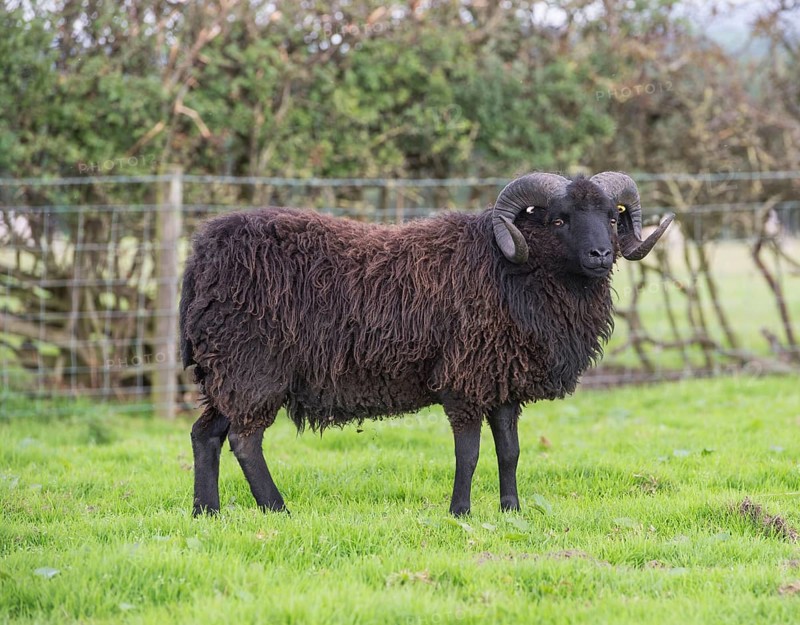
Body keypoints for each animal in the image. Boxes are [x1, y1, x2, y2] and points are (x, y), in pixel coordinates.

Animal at [180, 172, 673, 516]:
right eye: (559, 219)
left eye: (611, 216)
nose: (601, 255)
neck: (508, 268)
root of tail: (202, 254)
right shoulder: (465, 380)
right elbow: (469, 453)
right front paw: (461, 512)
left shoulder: (502, 380)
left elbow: (510, 451)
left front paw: (512, 510)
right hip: (253, 367)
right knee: (244, 441)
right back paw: (277, 509)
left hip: (227, 371)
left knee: (205, 435)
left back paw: (207, 513)